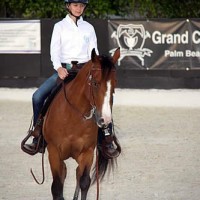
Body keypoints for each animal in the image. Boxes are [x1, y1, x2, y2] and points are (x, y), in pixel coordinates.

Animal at [43, 47, 121, 199]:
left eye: (114, 84)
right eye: (95, 83)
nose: (105, 120)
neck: (72, 118)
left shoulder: (87, 152)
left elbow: (84, 182)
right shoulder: (53, 152)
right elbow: (57, 187)